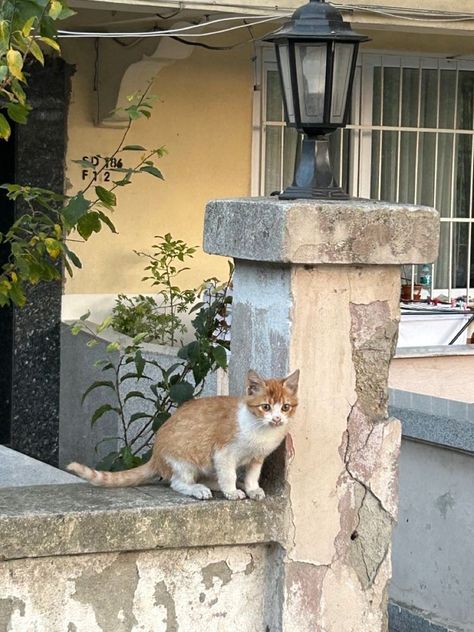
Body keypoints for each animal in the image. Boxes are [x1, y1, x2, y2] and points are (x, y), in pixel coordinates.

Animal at [66, 368, 298, 502]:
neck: (260, 430)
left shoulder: (257, 457)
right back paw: (197, 489)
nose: (277, 419)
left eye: (285, 407)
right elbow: (228, 474)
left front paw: (252, 488)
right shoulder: (223, 453)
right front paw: (232, 491)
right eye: (266, 407)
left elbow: (251, 475)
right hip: (183, 459)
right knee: (177, 482)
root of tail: (156, 456)